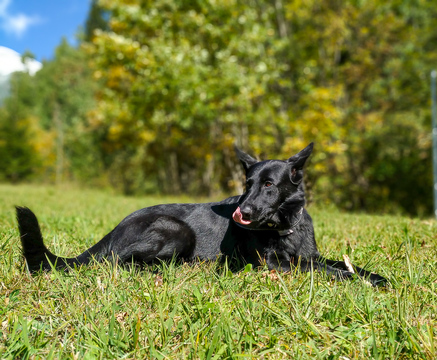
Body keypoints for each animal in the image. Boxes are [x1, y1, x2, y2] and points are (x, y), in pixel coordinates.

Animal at [16, 143, 384, 286]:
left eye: (268, 185)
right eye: (247, 184)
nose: (240, 213)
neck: (285, 229)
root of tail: (115, 228)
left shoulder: (309, 255)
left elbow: (341, 264)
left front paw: (377, 277)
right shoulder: (278, 265)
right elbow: (326, 271)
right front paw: (358, 281)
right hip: (178, 231)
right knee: (120, 262)